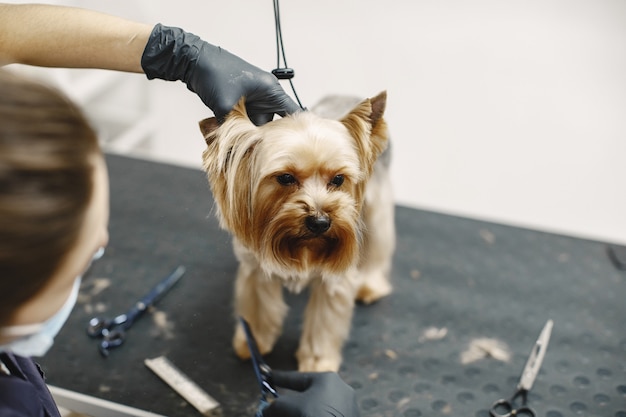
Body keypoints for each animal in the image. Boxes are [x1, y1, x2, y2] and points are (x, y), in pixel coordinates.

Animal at [200, 92, 392, 370]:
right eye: (286, 178)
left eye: (338, 179)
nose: (320, 222)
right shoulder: (256, 268)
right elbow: (258, 306)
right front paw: (253, 343)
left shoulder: (333, 279)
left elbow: (324, 320)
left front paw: (317, 362)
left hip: (376, 207)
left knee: (378, 243)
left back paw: (369, 285)